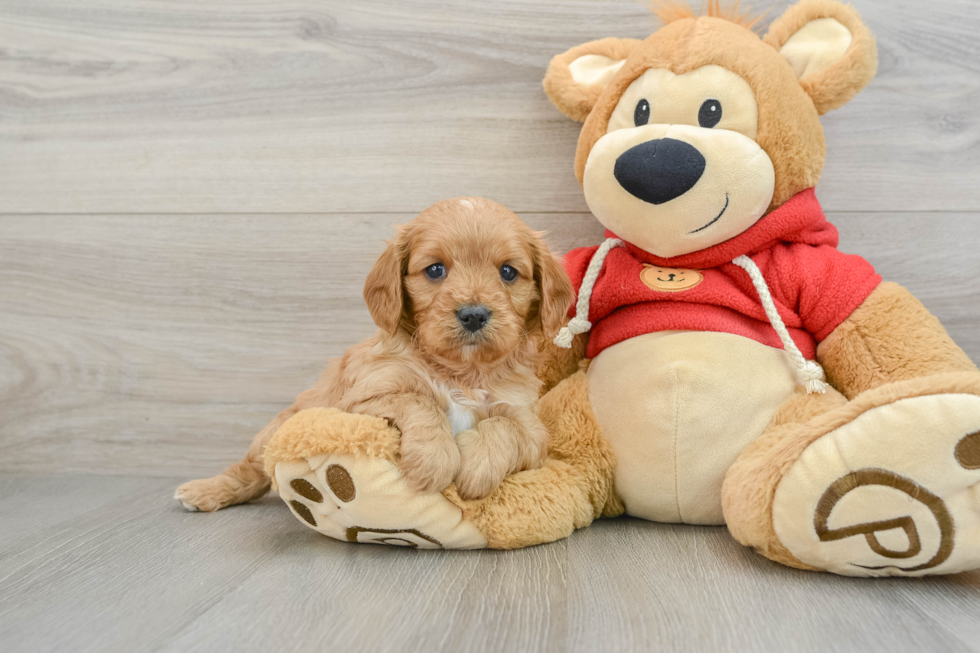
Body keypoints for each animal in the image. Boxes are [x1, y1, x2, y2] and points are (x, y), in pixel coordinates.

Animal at [176, 199, 576, 510]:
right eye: (435, 269)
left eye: (508, 272)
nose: (474, 314)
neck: (461, 371)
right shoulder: (360, 401)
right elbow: (420, 401)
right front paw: (434, 461)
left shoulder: (530, 425)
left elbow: (505, 426)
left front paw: (477, 467)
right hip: (273, 433)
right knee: (248, 471)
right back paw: (203, 491)